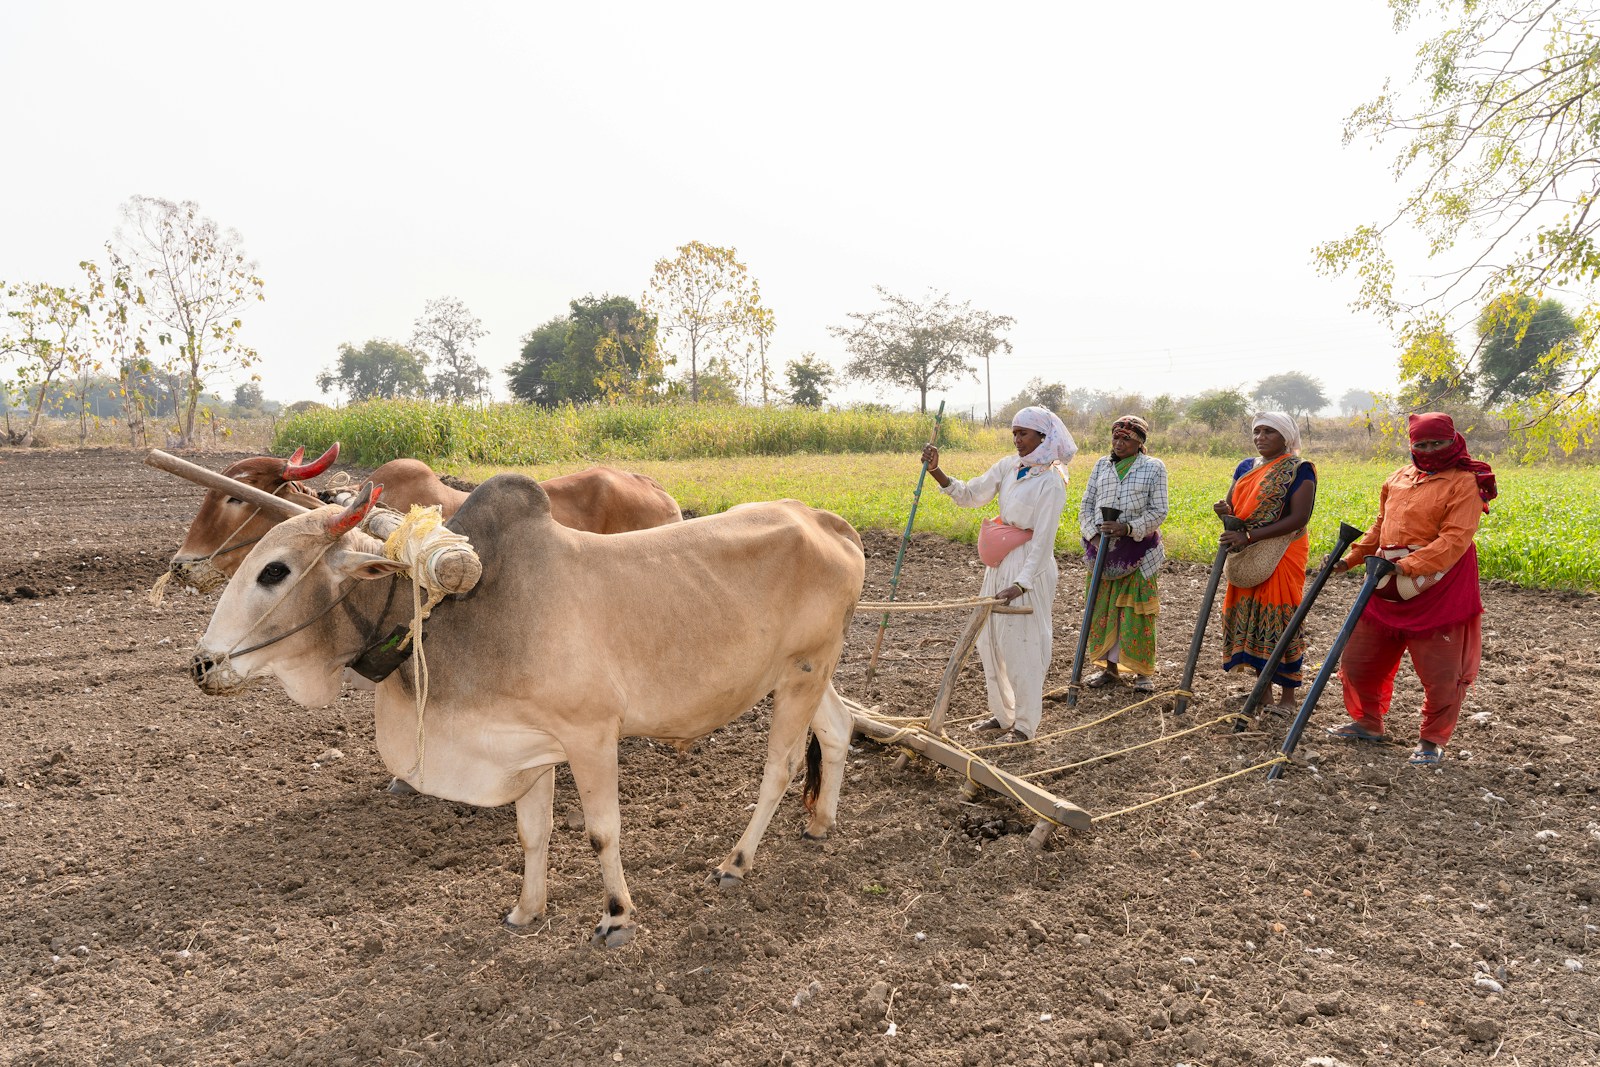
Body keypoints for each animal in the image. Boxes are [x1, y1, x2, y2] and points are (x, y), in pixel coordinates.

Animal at [187, 475, 865, 947]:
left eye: (274, 571)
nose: (201, 664)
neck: (458, 613)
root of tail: (827, 520)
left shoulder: (591, 736)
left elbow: (601, 831)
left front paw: (616, 917)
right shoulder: (527, 747)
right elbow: (531, 833)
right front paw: (527, 910)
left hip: (801, 674)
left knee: (778, 768)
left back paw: (736, 862)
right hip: (806, 673)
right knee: (839, 728)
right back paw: (821, 823)